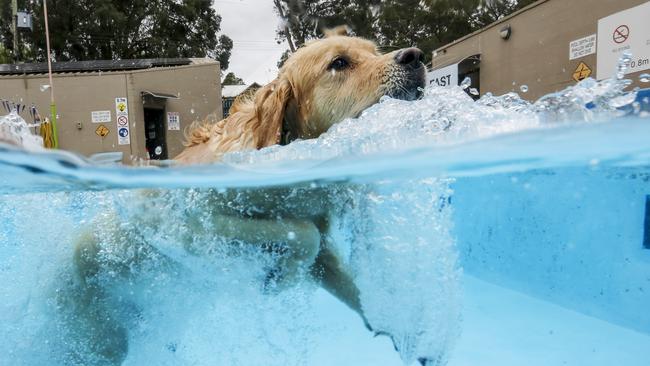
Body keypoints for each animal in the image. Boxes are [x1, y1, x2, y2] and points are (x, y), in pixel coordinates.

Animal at [71, 28, 428, 366]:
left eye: (375, 51)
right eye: (339, 63)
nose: (415, 56)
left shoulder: (325, 251)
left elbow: (344, 278)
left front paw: (404, 332)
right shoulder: (186, 223)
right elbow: (302, 235)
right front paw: (280, 277)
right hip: (102, 340)